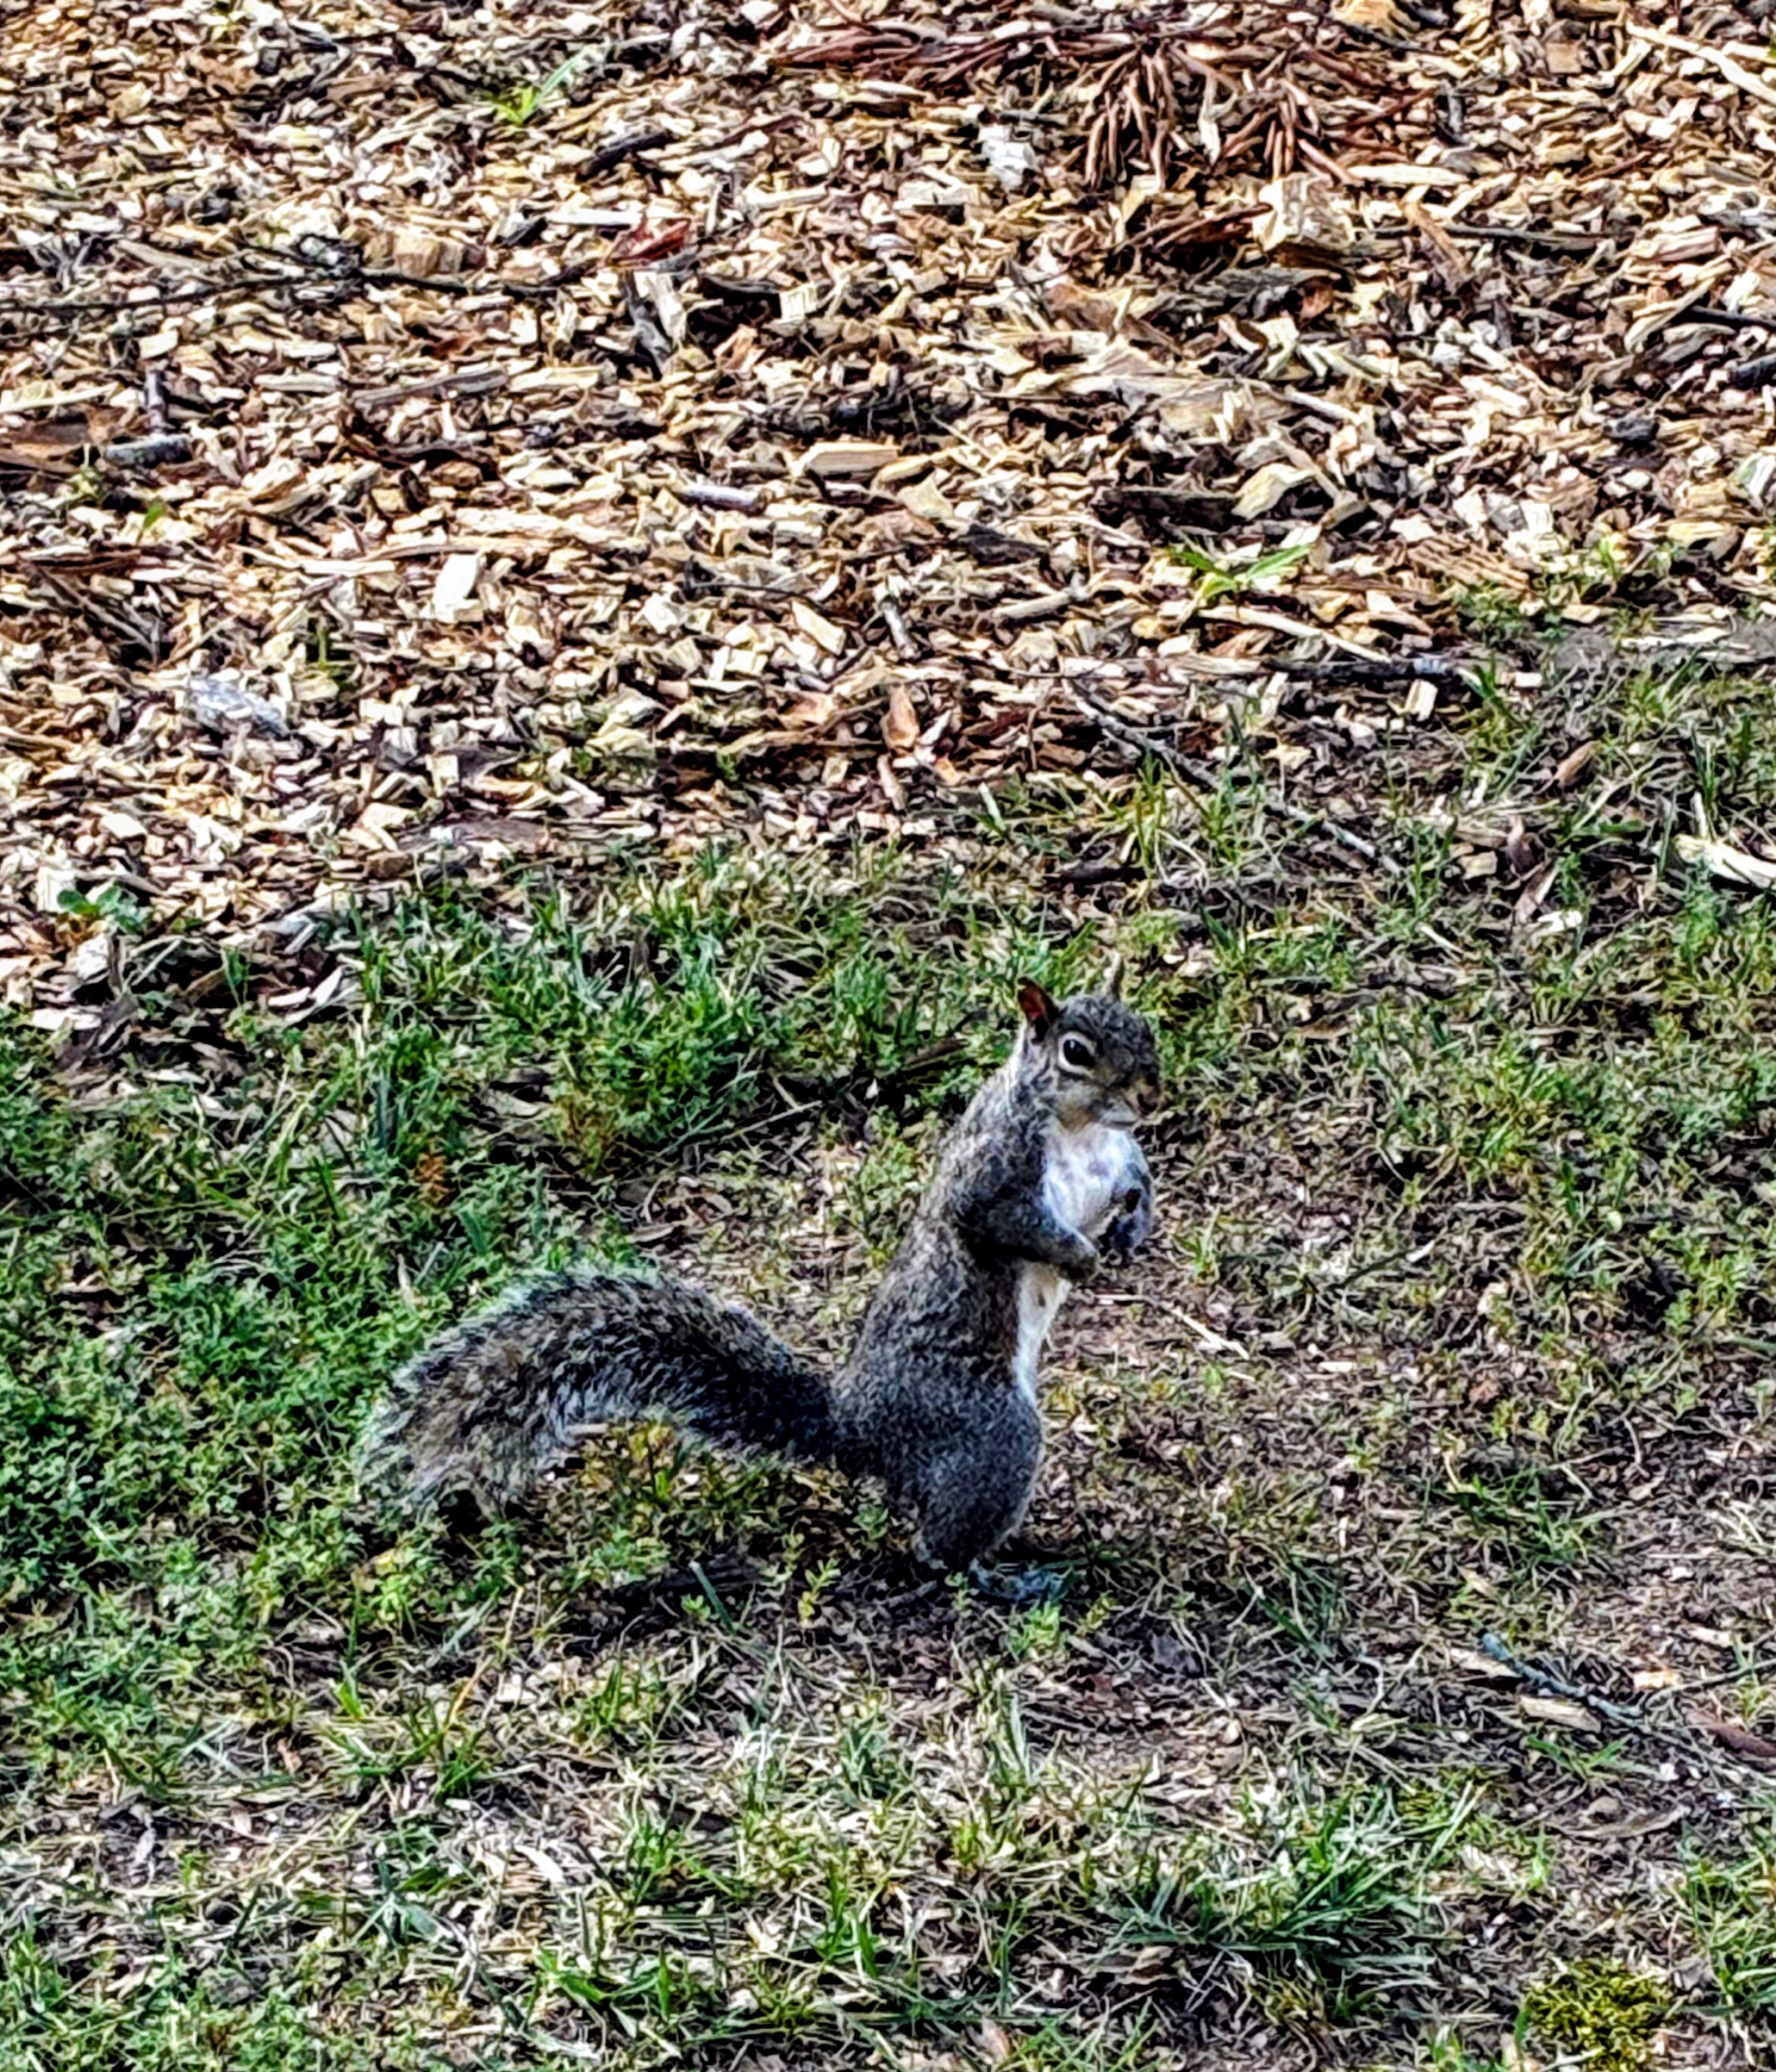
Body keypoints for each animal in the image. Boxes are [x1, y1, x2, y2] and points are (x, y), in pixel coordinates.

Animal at [359, 980, 1160, 1596]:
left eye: (1143, 1026)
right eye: (1077, 1051)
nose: (1150, 1092)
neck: (1082, 1129)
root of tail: (858, 1427)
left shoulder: (1120, 1156)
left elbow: (1138, 1182)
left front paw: (1132, 1227)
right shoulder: (993, 1173)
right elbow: (1000, 1222)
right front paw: (1080, 1257)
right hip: (992, 1435)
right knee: (939, 1551)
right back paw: (1006, 1579)